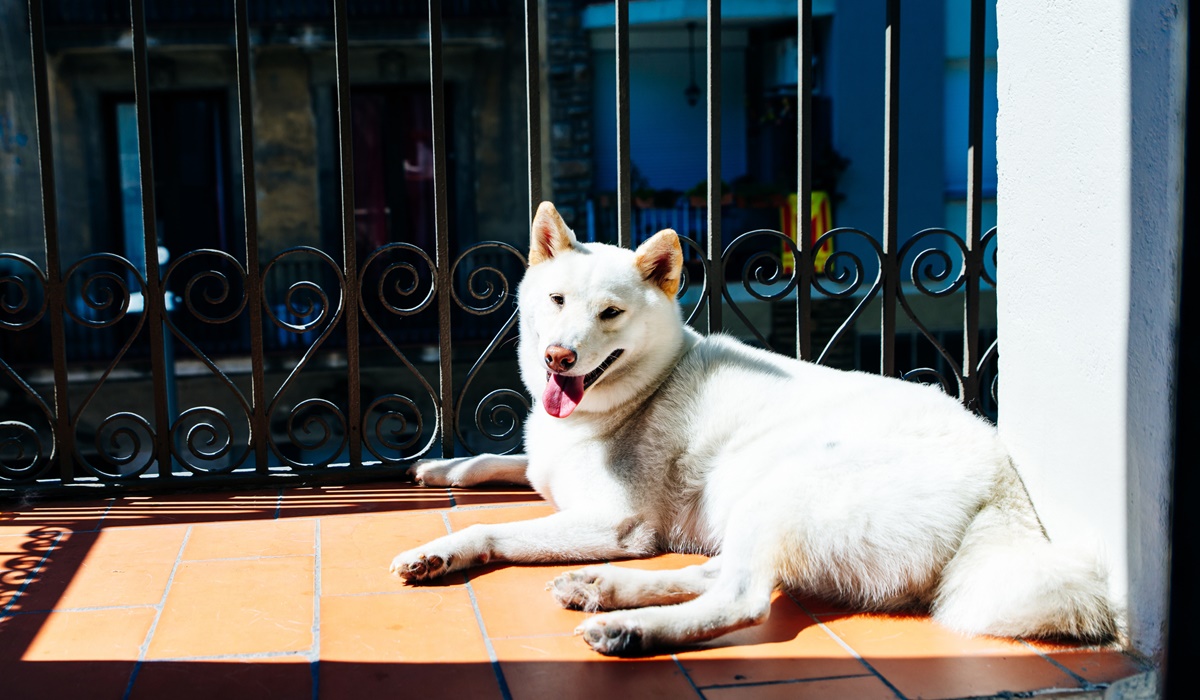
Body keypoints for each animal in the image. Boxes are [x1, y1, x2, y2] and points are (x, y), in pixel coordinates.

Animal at [391, 200, 1113, 653]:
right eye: (557, 300)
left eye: (610, 313)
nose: (558, 358)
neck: (644, 388)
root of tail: (1001, 481)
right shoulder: (543, 467)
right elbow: (496, 462)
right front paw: (440, 467)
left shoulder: (617, 524)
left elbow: (494, 528)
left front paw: (441, 550)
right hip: (754, 506)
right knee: (728, 574)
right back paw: (605, 590)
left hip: (780, 482)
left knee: (744, 597)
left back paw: (631, 628)